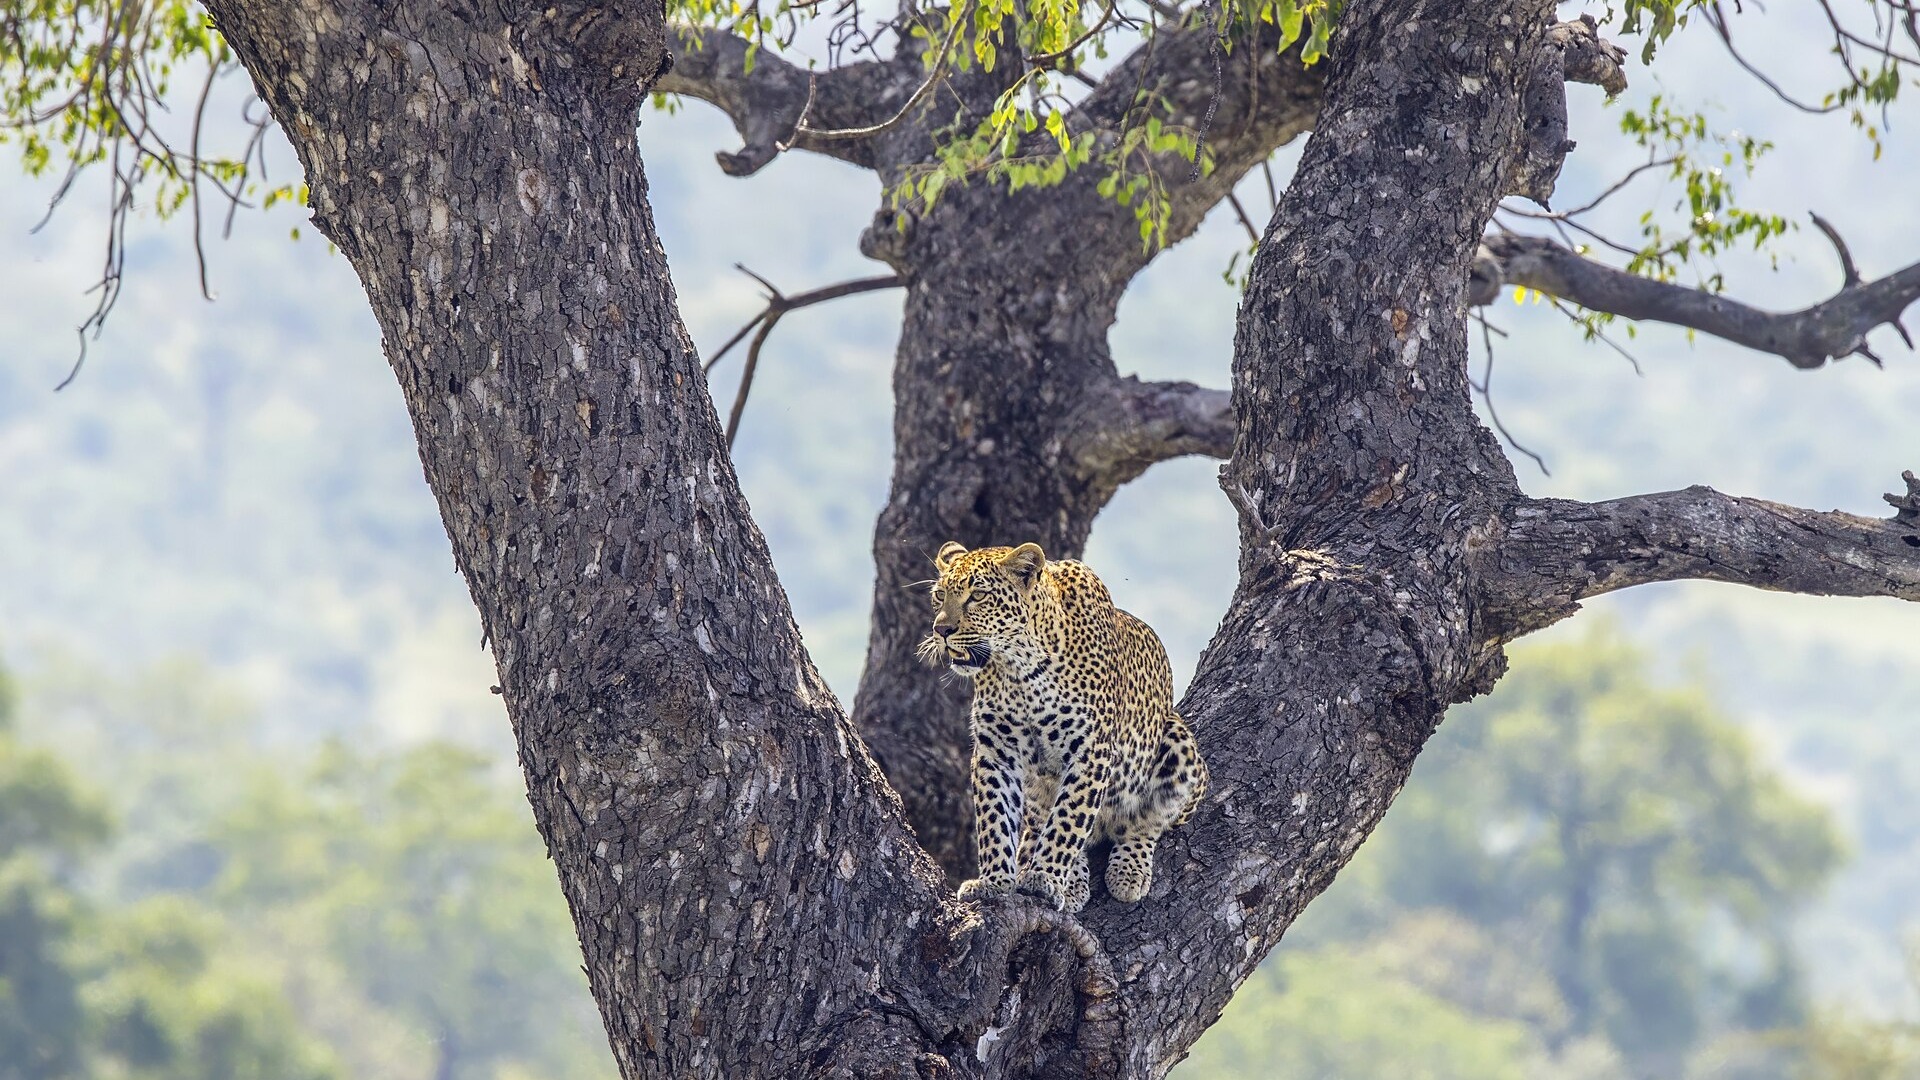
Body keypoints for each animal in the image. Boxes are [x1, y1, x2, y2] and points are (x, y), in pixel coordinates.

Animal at [918, 540, 1208, 913]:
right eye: (940, 595)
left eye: (978, 595)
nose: (941, 631)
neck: (1018, 669)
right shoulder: (996, 751)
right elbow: (996, 818)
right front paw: (994, 882)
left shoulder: (1091, 751)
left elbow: (1069, 818)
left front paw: (1044, 878)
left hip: (1178, 744)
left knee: (1144, 821)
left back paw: (1128, 871)